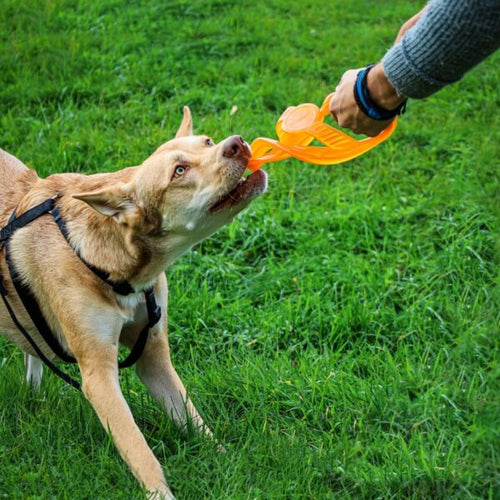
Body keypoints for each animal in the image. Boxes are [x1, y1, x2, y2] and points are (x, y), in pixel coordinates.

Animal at [0, 107, 266, 498]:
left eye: (207, 142)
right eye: (179, 172)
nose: (237, 143)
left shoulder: (153, 354)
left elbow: (192, 418)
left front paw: (224, 459)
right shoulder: (98, 376)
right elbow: (139, 449)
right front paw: (162, 494)